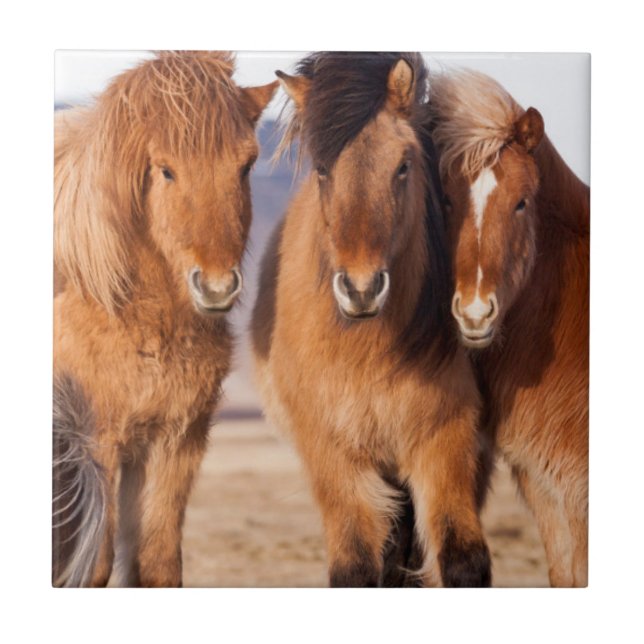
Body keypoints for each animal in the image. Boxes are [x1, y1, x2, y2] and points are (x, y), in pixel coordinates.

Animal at [53, 51, 277, 587]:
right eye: (166, 170)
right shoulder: (96, 443)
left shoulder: (175, 441)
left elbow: (157, 564)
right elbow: (94, 566)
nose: (216, 286)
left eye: (247, 165)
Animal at [251, 52, 491, 587]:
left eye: (404, 166)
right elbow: (356, 566)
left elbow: (464, 561)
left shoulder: (447, 439)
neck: (368, 351)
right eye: (322, 169)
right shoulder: (333, 453)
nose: (361, 289)